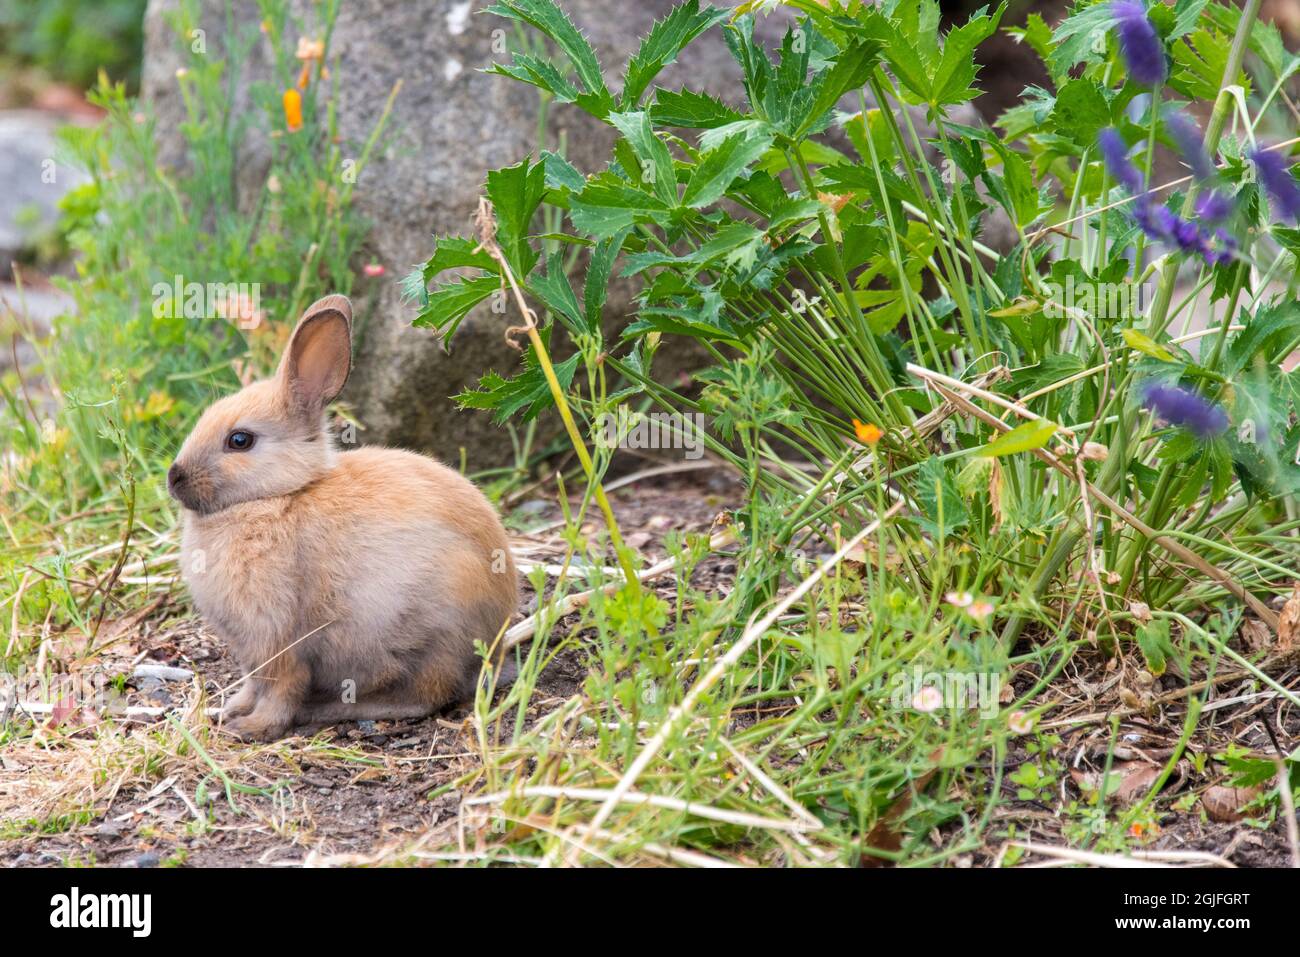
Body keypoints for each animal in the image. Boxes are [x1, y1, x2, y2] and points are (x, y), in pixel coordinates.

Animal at [167, 294, 519, 741]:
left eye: (240, 440)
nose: (174, 478)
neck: (278, 495)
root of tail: (496, 638)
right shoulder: (251, 652)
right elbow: (252, 685)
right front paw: (230, 709)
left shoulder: (278, 640)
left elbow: (281, 689)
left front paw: (251, 728)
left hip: (432, 632)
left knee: (426, 694)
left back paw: (331, 708)